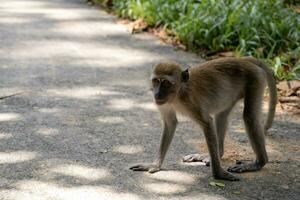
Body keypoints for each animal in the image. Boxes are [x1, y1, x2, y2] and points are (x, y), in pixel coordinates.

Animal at [130, 56, 278, 181]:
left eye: (166, 83)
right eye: (156, 81)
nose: (158, 94)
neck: (179, 93)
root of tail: (243, 60)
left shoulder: (191, 103)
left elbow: (207, 123)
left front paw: (218, 174)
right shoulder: (164, 104)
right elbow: (170, 123)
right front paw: (155, 165)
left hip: (255, 79)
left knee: (249, 116)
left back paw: (259, 163)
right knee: (221, 115)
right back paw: (218, 153)